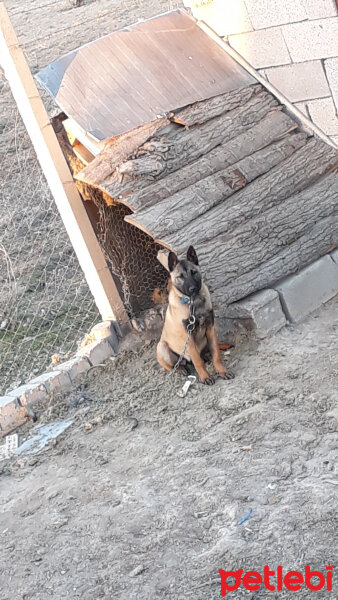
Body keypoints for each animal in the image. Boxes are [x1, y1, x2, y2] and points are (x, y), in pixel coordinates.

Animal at [158, 247, 232, 384]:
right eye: (180, 277)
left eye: (194, 272)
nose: (192, 289)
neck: (194, 303)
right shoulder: (189, 337)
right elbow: (197, 361)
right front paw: (205, 376)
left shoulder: (210, 328)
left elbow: (216, 354)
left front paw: (222, 371)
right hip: (162, 347)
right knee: (173, 366)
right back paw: (181, 369)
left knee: (205, 353)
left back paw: (207, 356)